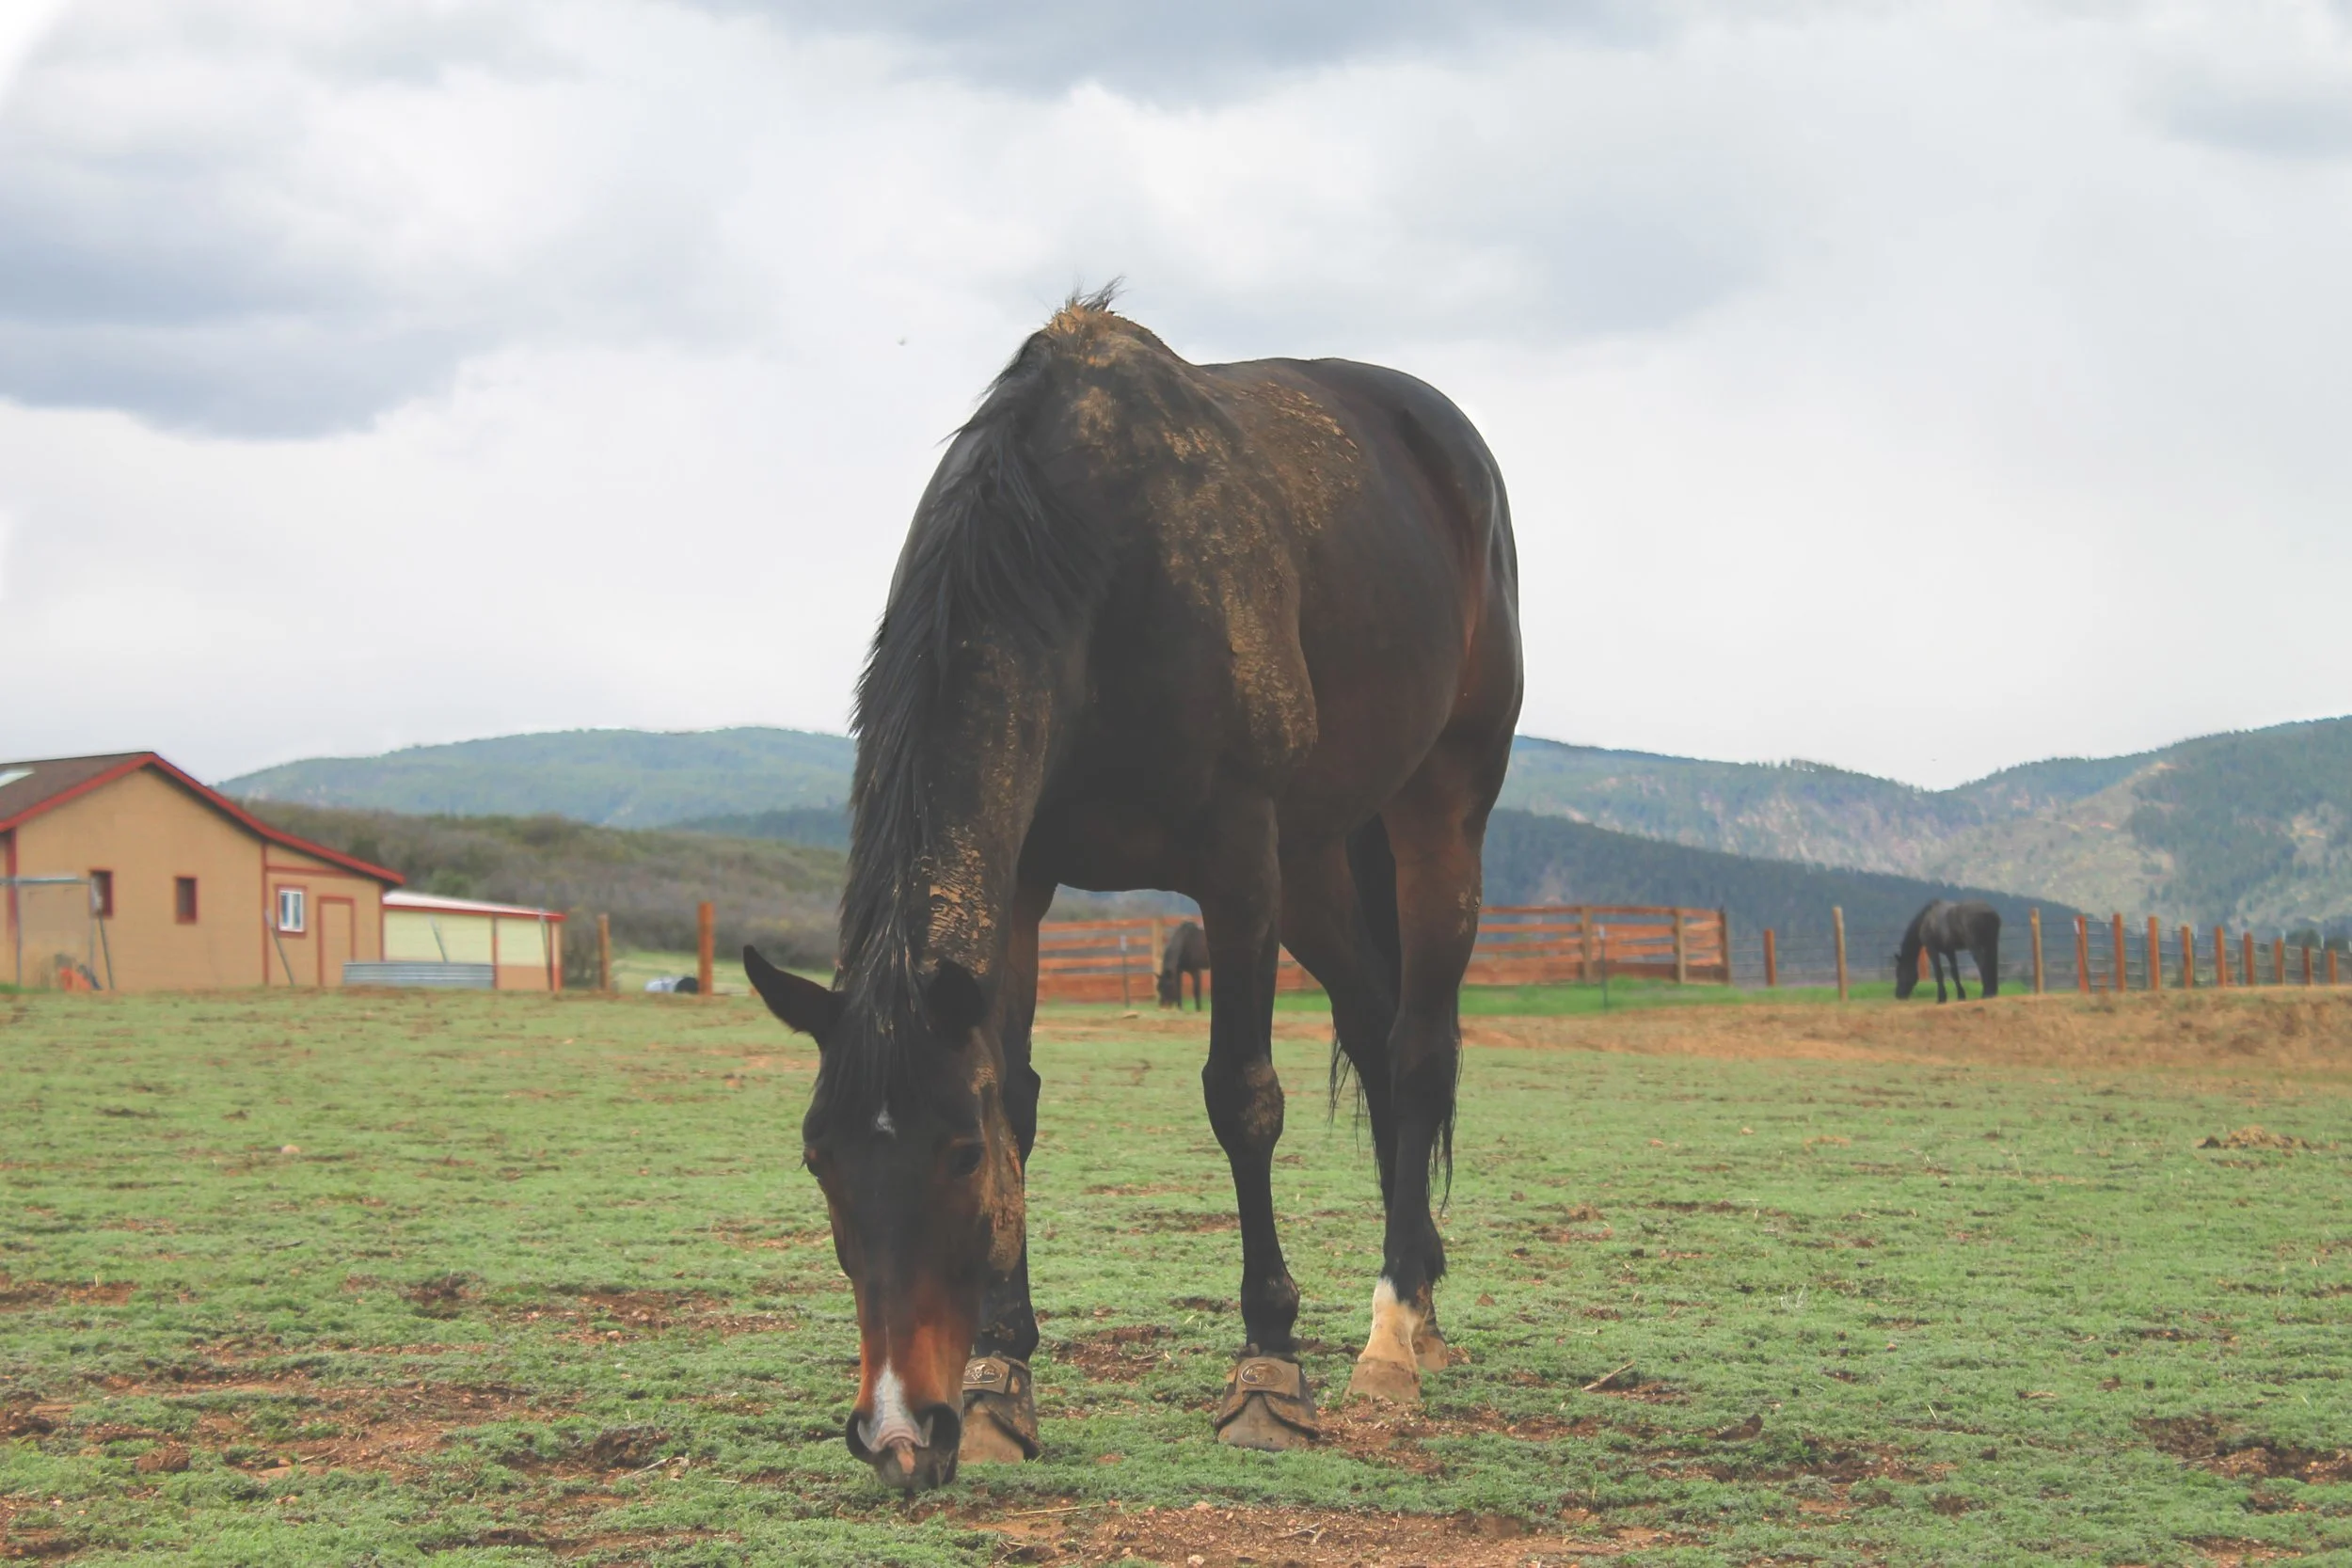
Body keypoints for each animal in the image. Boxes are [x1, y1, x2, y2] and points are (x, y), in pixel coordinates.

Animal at [741, 291, 1521, 1490]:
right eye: (817, 1156)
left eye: (953, 1153)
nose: (900, 1432)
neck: (1092, 566)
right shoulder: (1024, 879)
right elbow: (1017, 1093)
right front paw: (1001, 1377)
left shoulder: (1236, 859)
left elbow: (1242, 1098)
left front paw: (1268, 1365)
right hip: (1316, 861)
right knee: (1374, 1027)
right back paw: (1422, 1302)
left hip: (1439, 805)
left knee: (1419, 1050)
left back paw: (1391, 1334)